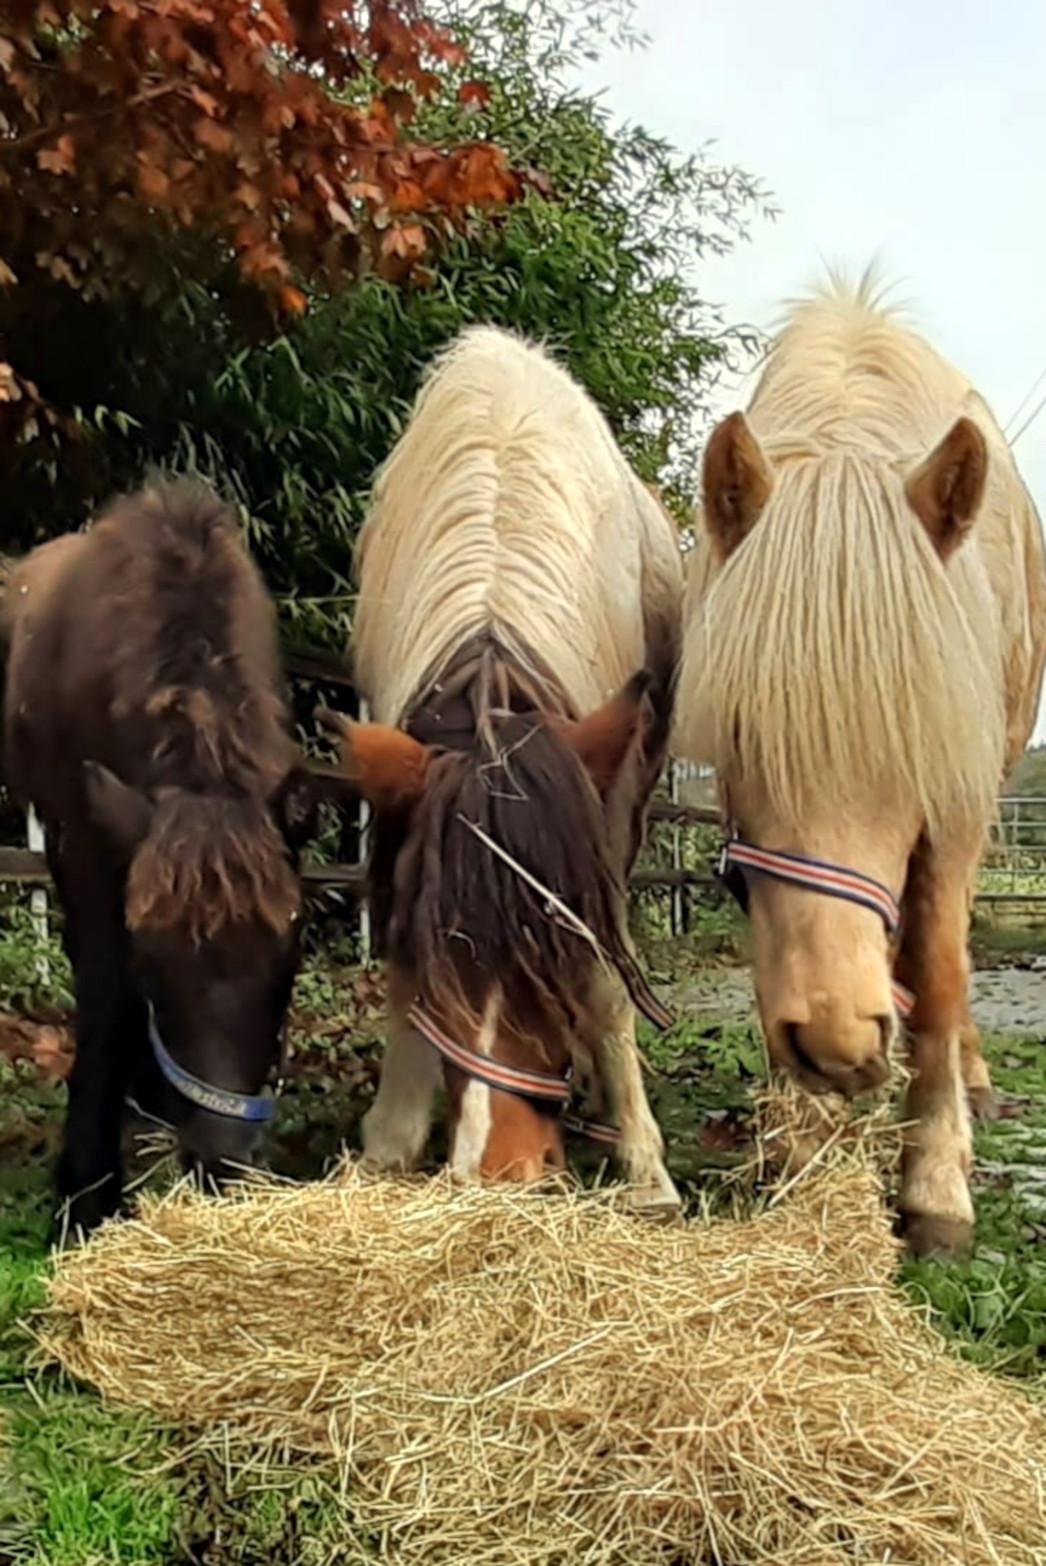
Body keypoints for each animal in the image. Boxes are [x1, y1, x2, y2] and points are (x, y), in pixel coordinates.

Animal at [0, 476, 319, 1234]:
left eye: (291, 953)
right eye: (153, 964)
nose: (221, 1160)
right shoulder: (84, 848)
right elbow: (105, 995)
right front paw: (86, 1191)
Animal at [327, 327, 685, 1208]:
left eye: (552, 950)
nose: (498, 1172)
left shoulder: (605, 809)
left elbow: (606, 975)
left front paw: (645, 1165)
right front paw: (393, 1136)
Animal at [679, 275, 1046, 1259]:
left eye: (917, 739)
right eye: (742, 734)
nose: (838, 1042)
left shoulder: (956, 803)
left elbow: (943, 967)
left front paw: (936, 1187)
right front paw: (801, 1146)